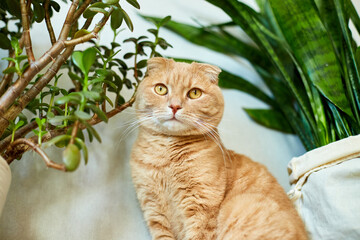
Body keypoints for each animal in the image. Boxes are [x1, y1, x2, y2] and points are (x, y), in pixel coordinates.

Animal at [129, 57, 306, 239]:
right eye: (161, 89)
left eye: (194, 93)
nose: (175, 106)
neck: (166, 159)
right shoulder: (154, 210)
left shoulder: (201, 208)